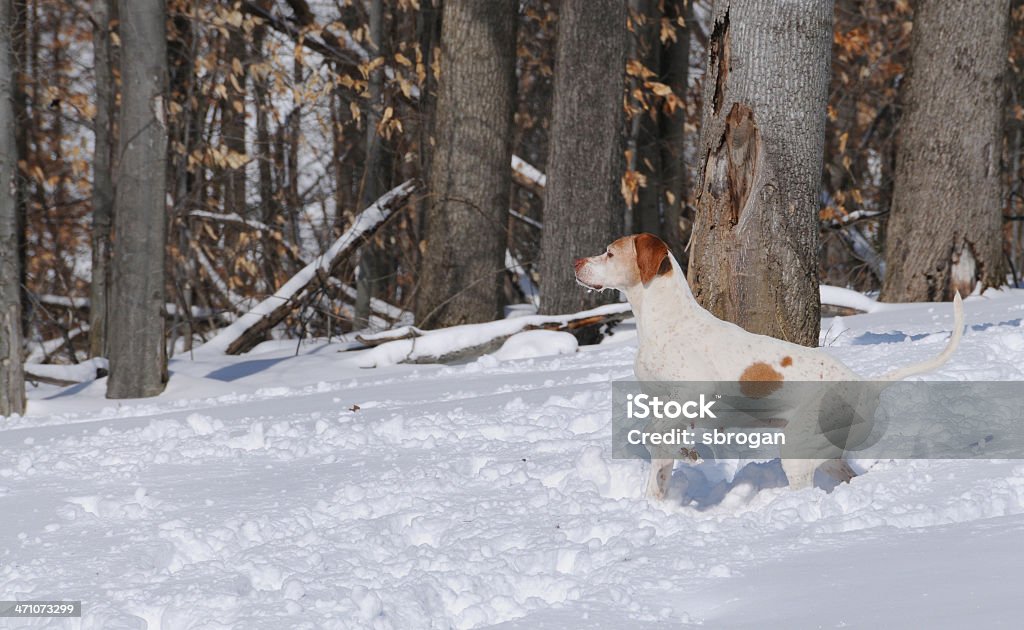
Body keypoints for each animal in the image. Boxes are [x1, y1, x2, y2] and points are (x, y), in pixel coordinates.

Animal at [573, 231, 962, 497]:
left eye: (609, 252)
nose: (576, 264)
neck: (666, 321)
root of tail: (864, 385)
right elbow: (660, 458)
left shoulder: (696, 392)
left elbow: (658, 433)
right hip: (826, 451)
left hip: (797, 449)